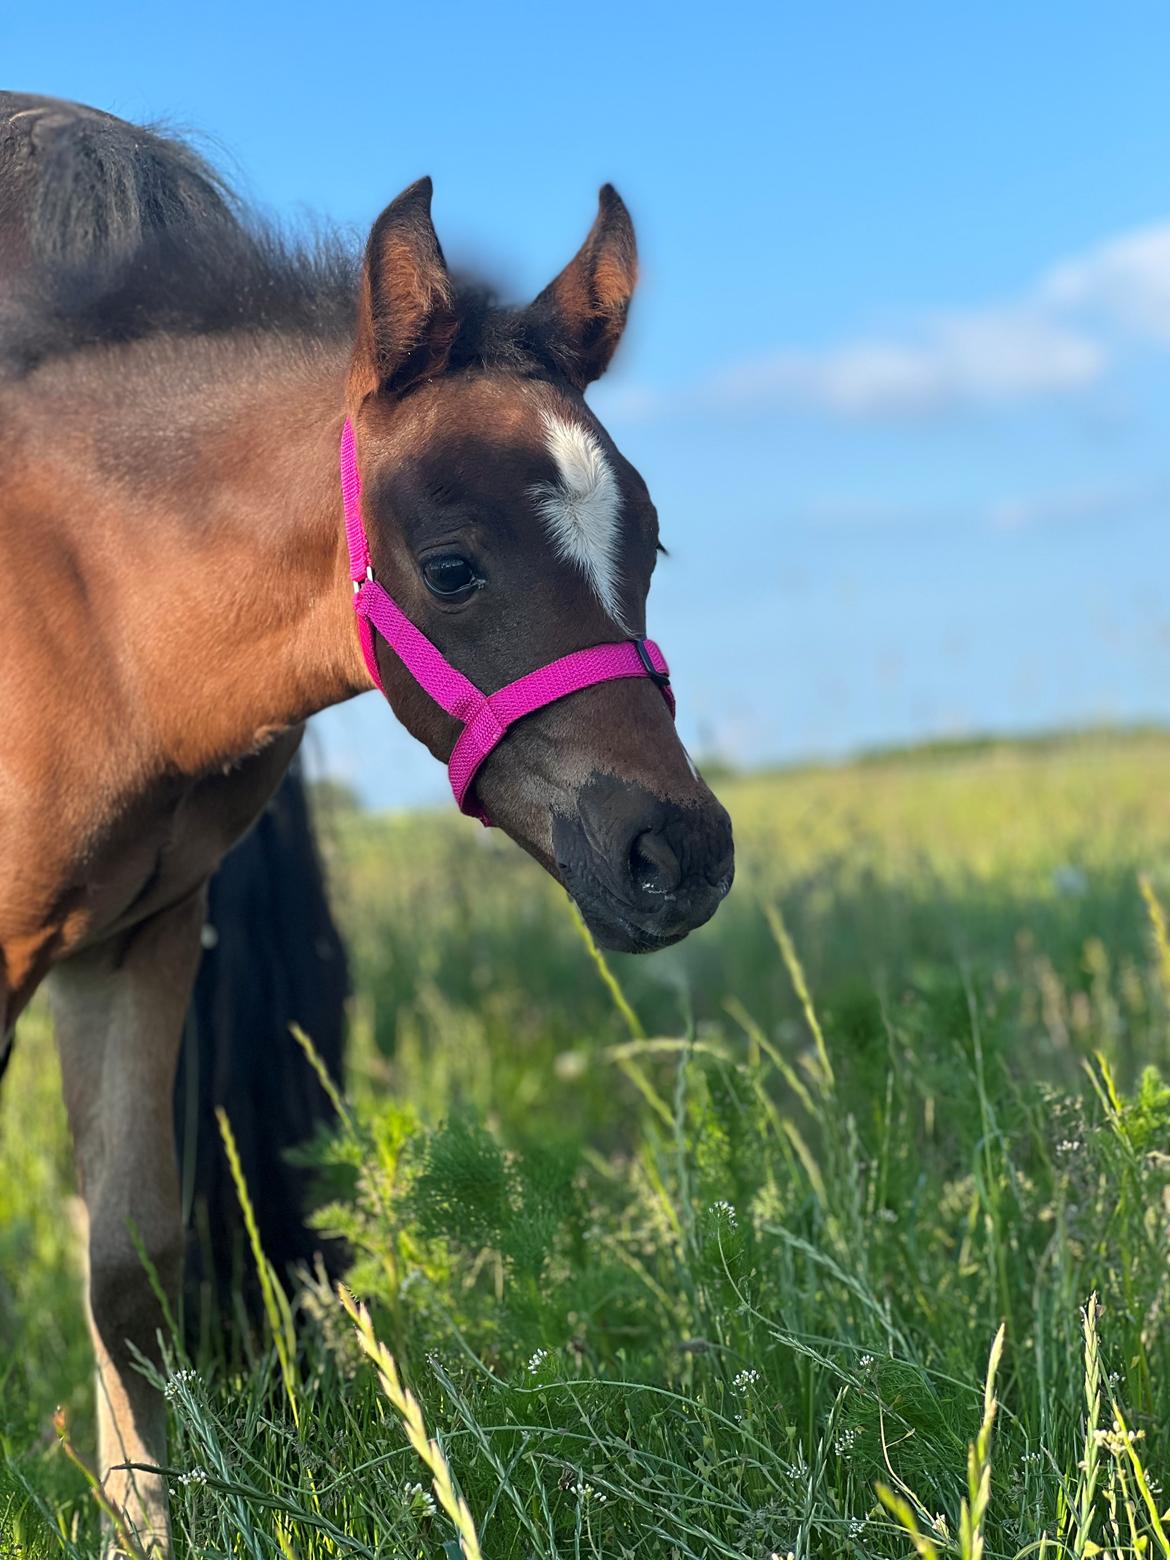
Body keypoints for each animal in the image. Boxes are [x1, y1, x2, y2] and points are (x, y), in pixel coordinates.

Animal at [0, 92, 734, 1552]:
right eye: (449, 567)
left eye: (650, 544)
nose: (677, 856)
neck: (70, 614)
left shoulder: (136, 942)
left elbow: (127, 1269)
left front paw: (144, 1527)